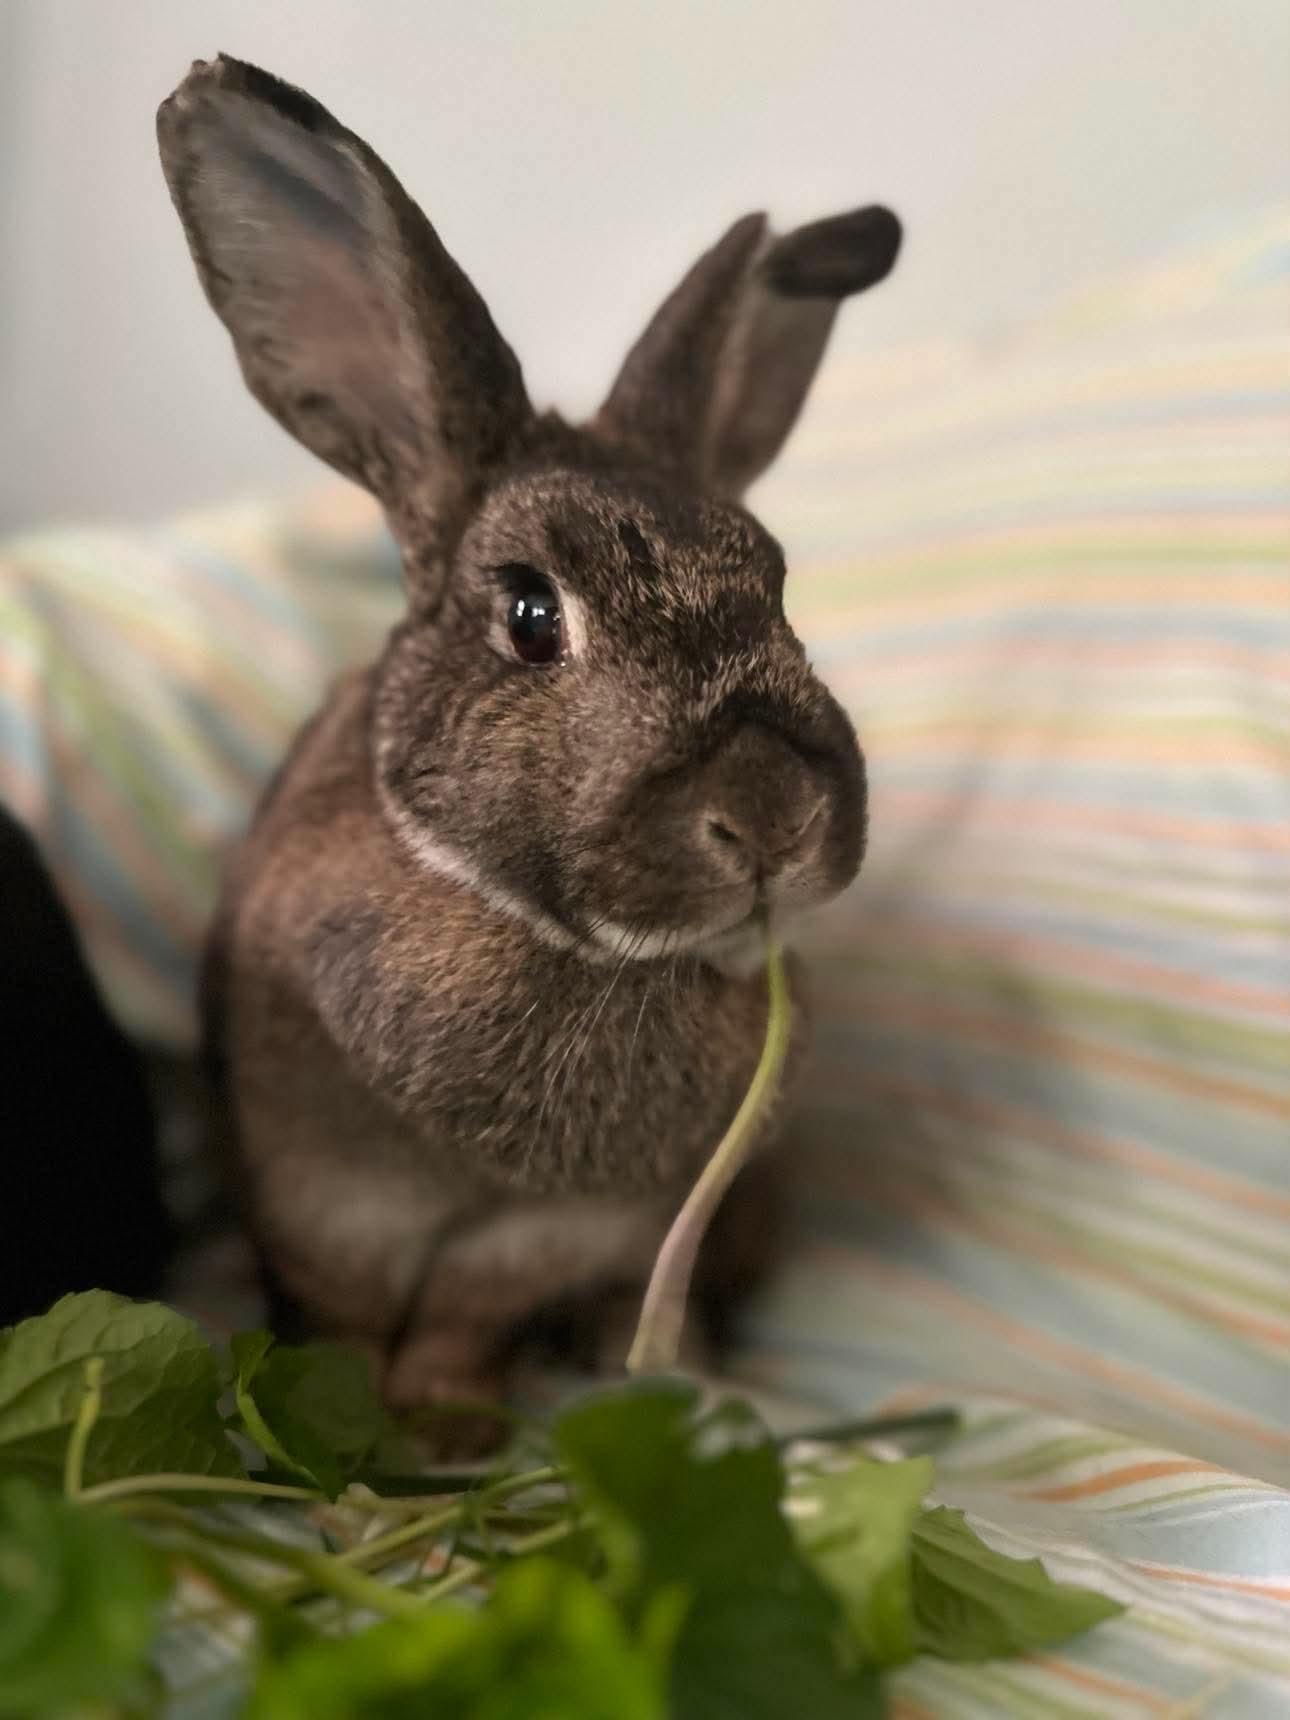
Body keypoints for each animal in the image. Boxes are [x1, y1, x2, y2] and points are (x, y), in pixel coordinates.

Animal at [157, 55, 900, 1436]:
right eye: (529, 613)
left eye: (777, 581)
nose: (772, 814)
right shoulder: (319, 1201)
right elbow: (346, 1321)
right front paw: (360, 1431)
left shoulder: (559, 1234)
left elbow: (464, 1322)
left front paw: (448, 1420)